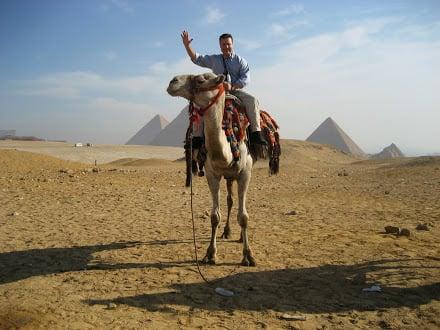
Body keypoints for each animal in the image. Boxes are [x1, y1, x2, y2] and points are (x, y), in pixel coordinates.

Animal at [167, 71, 268, 266]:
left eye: (200, 80)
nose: (172, 82)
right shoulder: (212, 174)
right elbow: (215, 216)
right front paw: (210, 254)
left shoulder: (245, 173)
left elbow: (244, 217)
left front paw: (248, 256)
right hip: (227, 177)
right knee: (230, 201)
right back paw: (227, 232)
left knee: (234, 203)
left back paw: (238, 237)